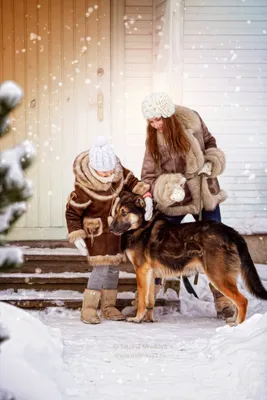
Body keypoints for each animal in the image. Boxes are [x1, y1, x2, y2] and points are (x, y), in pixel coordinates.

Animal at [110, 192, 267, 326]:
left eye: (124, 212)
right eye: (116, 211)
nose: (110, 228)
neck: (142, 226)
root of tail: (230, 231)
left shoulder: (141, 271)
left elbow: (142, 299)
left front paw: (137, 318)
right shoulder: (151, 274)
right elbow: (150, 301)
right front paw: (149, 319)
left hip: (218, 276)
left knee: (242, 300)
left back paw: (238, 325)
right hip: (223, 277)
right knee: (236, 301)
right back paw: (233, 320)